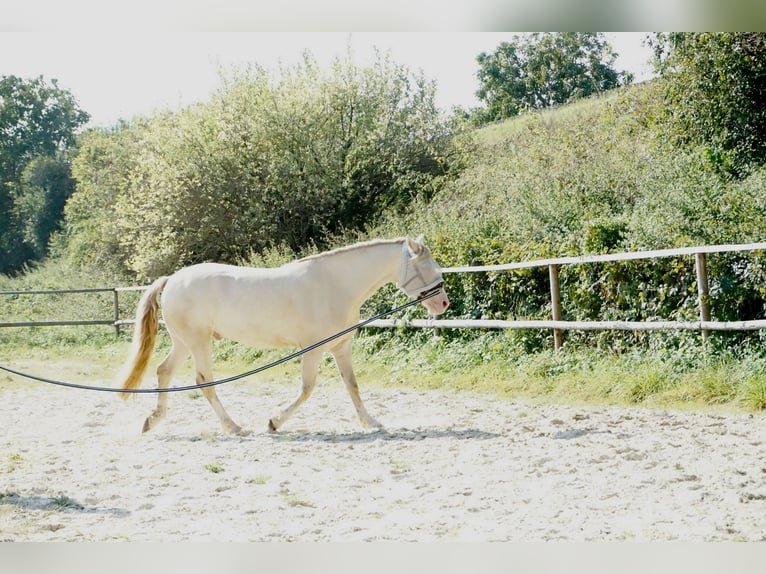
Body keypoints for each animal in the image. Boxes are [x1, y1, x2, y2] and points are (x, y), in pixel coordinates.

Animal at [116, 236, 450, 435]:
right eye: (428, 267)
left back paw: (152, 421)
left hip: (184, 342)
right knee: (203, 381)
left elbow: (352, 386)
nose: (443, 303)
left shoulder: (341, 348)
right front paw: (274, 422)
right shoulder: (313, 349)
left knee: (164, 371)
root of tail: (172, 279)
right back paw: (233, 427)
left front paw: (371, 422)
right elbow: (307, 388)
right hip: (198, 342)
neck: (334, 285)